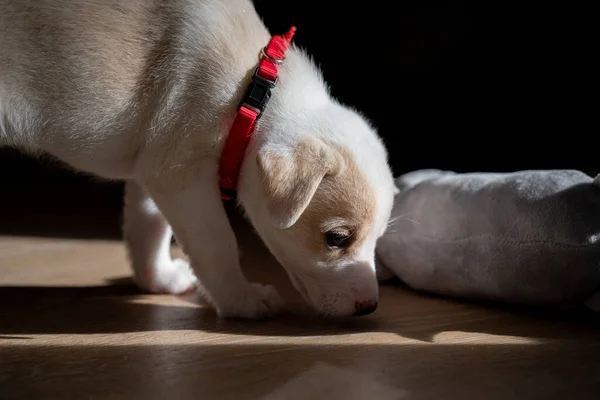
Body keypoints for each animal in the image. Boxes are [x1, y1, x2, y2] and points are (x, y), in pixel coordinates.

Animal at [0, 0, 398, 318]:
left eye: (379, 238)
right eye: (336, 239)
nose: (369, 308)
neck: (252, 94)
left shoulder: (155, 164)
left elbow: (149, 227)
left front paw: (159, 279)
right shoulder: (184, 179)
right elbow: (218, 244)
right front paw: (243, 300)